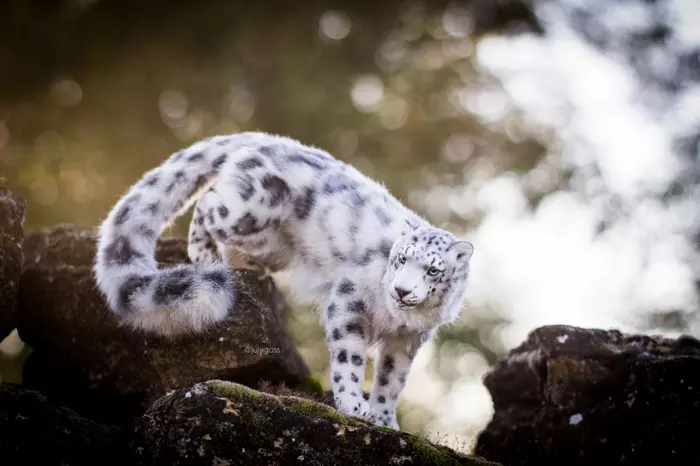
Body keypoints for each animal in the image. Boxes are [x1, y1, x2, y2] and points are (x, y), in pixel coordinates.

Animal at [93, 131, 474, 430]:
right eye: (401, 258)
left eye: (433, 270)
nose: (401, 290)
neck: (400, 318)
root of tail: (266, 138)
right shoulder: (349, 300)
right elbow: (349, 356)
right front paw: (354, 406)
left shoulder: (406, 341)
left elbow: (392, 381)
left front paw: (385, 419)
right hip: (251, 212)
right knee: (207, 203)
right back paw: (205, 254)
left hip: (269, 245)